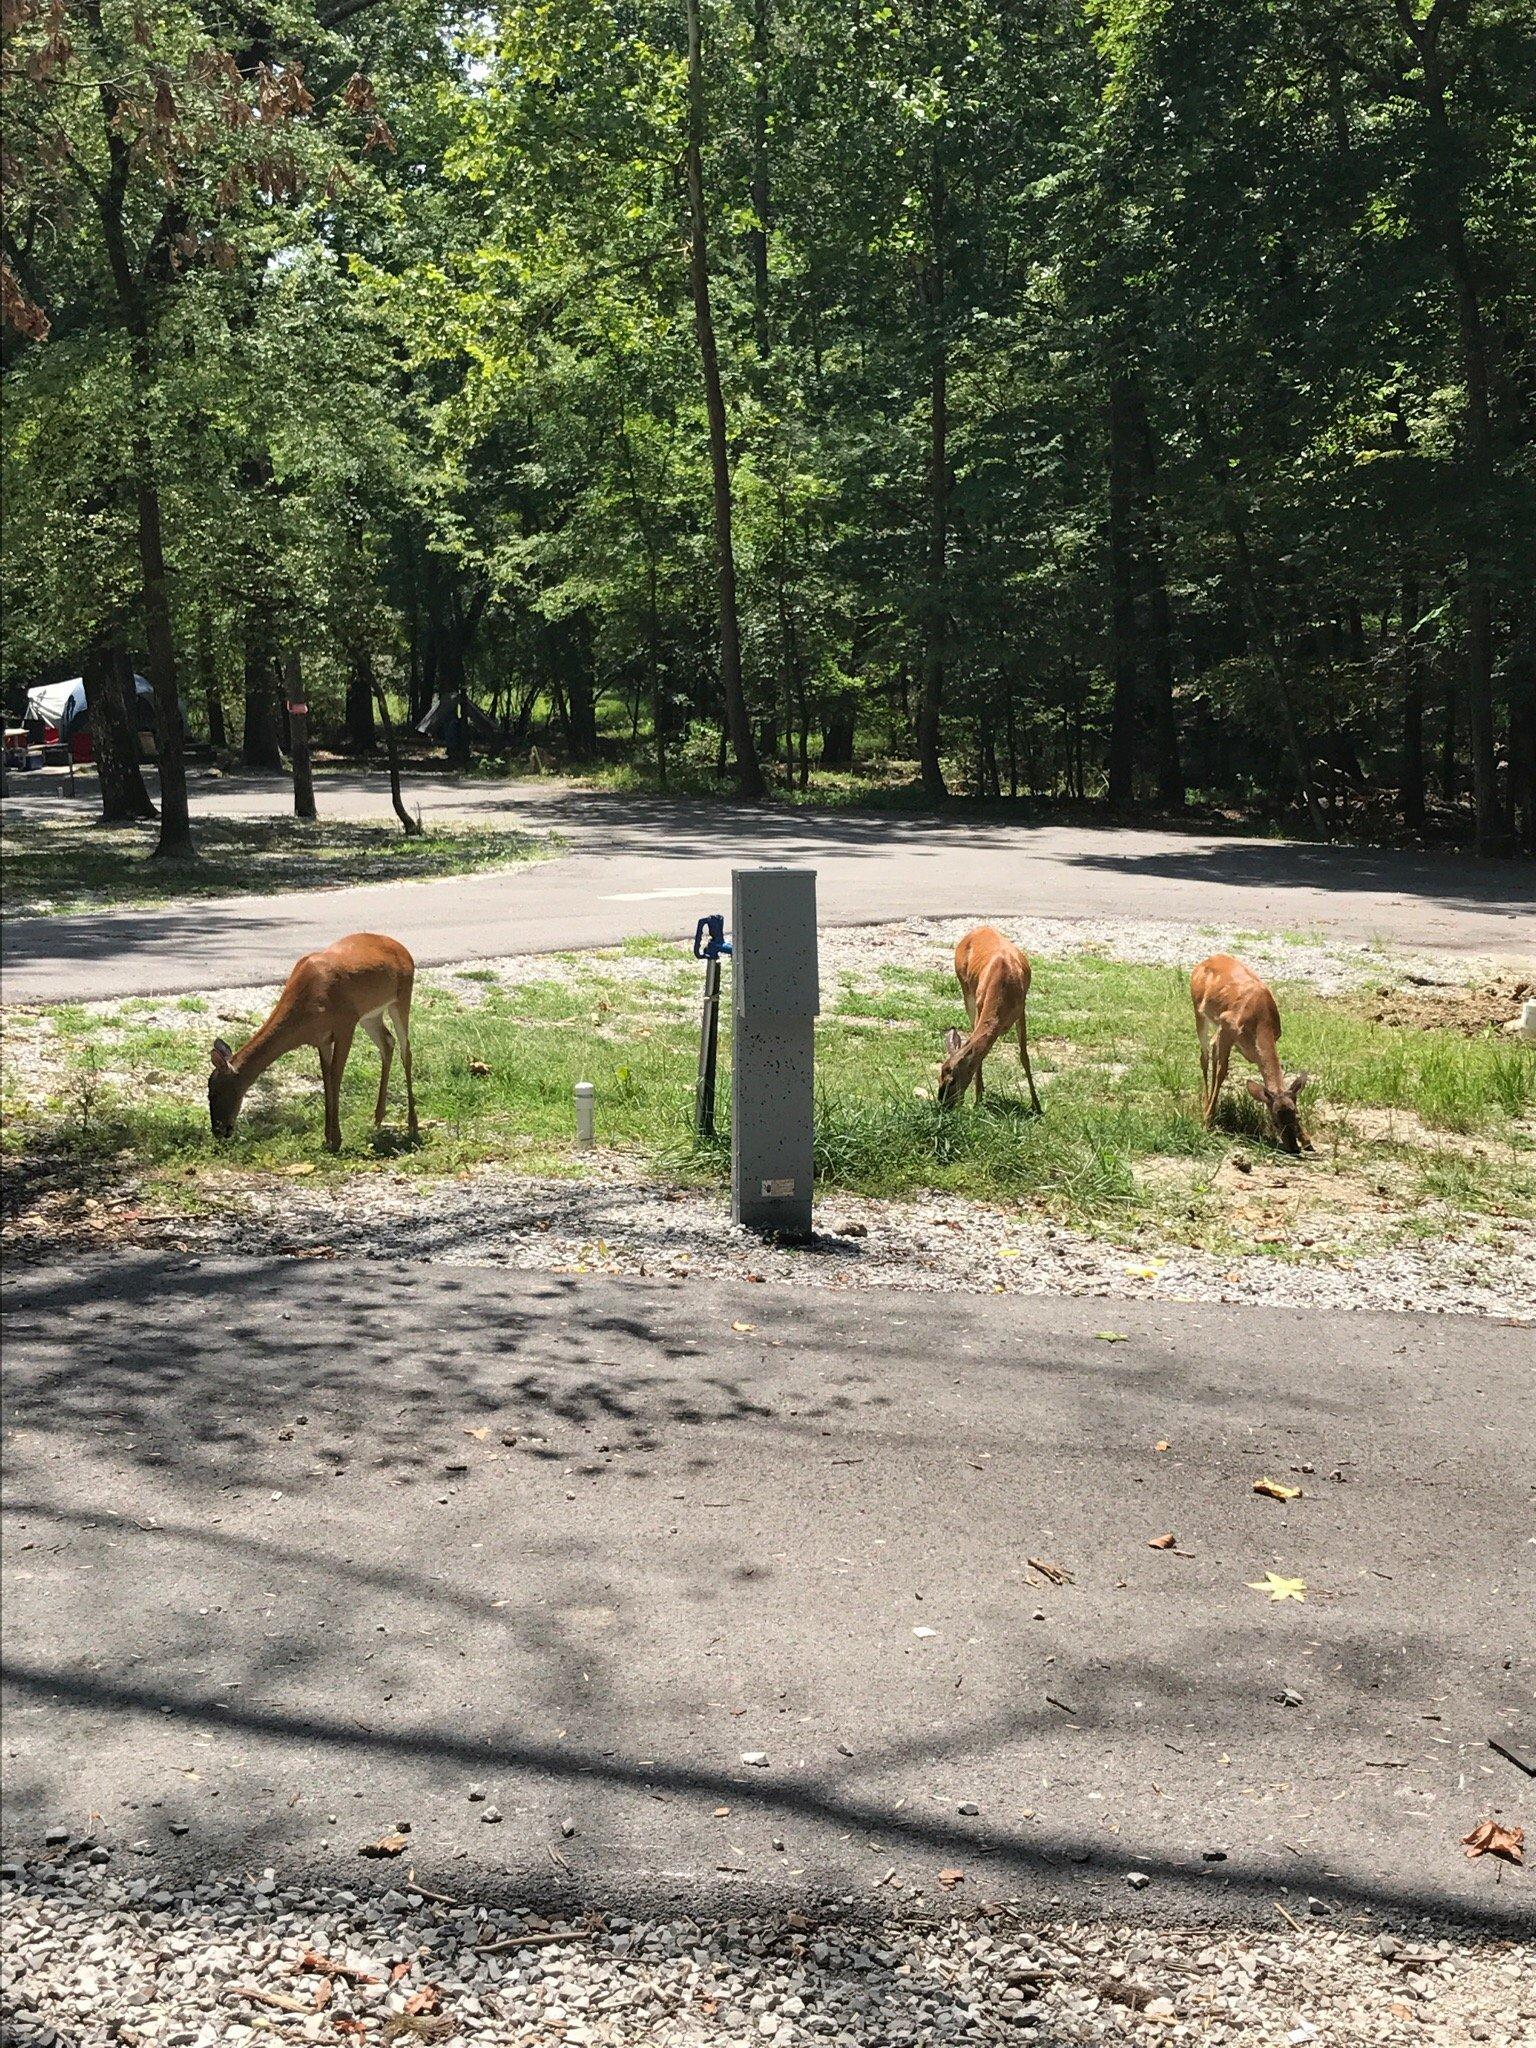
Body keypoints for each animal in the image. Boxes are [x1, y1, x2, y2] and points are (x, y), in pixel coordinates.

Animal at [208, 933, 421, 1155]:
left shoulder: (346, 1023)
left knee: (406, 1051)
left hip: (401, 997)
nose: (218, 1130)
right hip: (370, 1015)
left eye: (214, 1092)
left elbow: (336, 1076)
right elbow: (326, 1078)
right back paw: (377, 1121)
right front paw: (327, 1138)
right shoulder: (322, 1039)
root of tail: (405, 951)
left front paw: (336, 1140)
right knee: (388, 1043)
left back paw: (413, 1125)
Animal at [937, 925, 1048, 1114]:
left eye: (952, 1080)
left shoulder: (1021, 1008)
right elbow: (980, 1057)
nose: (944, 1104)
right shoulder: (980, 1004)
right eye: (939, 1076)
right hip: (966, 989)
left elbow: (1024, 1056)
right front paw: (977, 1100)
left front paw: (1037, 1106)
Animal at [1187, 954, 1310, 1155]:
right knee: (1204, 1056)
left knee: (1212, 1047)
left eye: (1296, 1116)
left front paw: (1307, 1140)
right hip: (1199, 1011)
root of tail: (1204, 962)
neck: (1261, 1021)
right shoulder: (1228, 1026)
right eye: (1275, 1121)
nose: (1293, 1148)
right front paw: (1208, 1121)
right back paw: (1206, 1106)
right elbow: (1222, 1072)